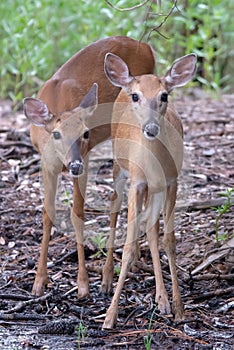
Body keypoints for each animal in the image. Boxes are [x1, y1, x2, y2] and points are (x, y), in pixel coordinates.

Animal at [101, 52, 197, 328]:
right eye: (136, 96)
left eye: (164, 95)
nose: (151, 129)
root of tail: (125, 79)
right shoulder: (137, 181)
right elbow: (127, 245)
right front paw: (110, 316)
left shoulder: (172, 181)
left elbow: (168, 241)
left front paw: (178, 308)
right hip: (119, 167)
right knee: (114, 206)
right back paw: (106, 279)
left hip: (155, 190)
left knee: (151, 228)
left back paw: (161, 298)